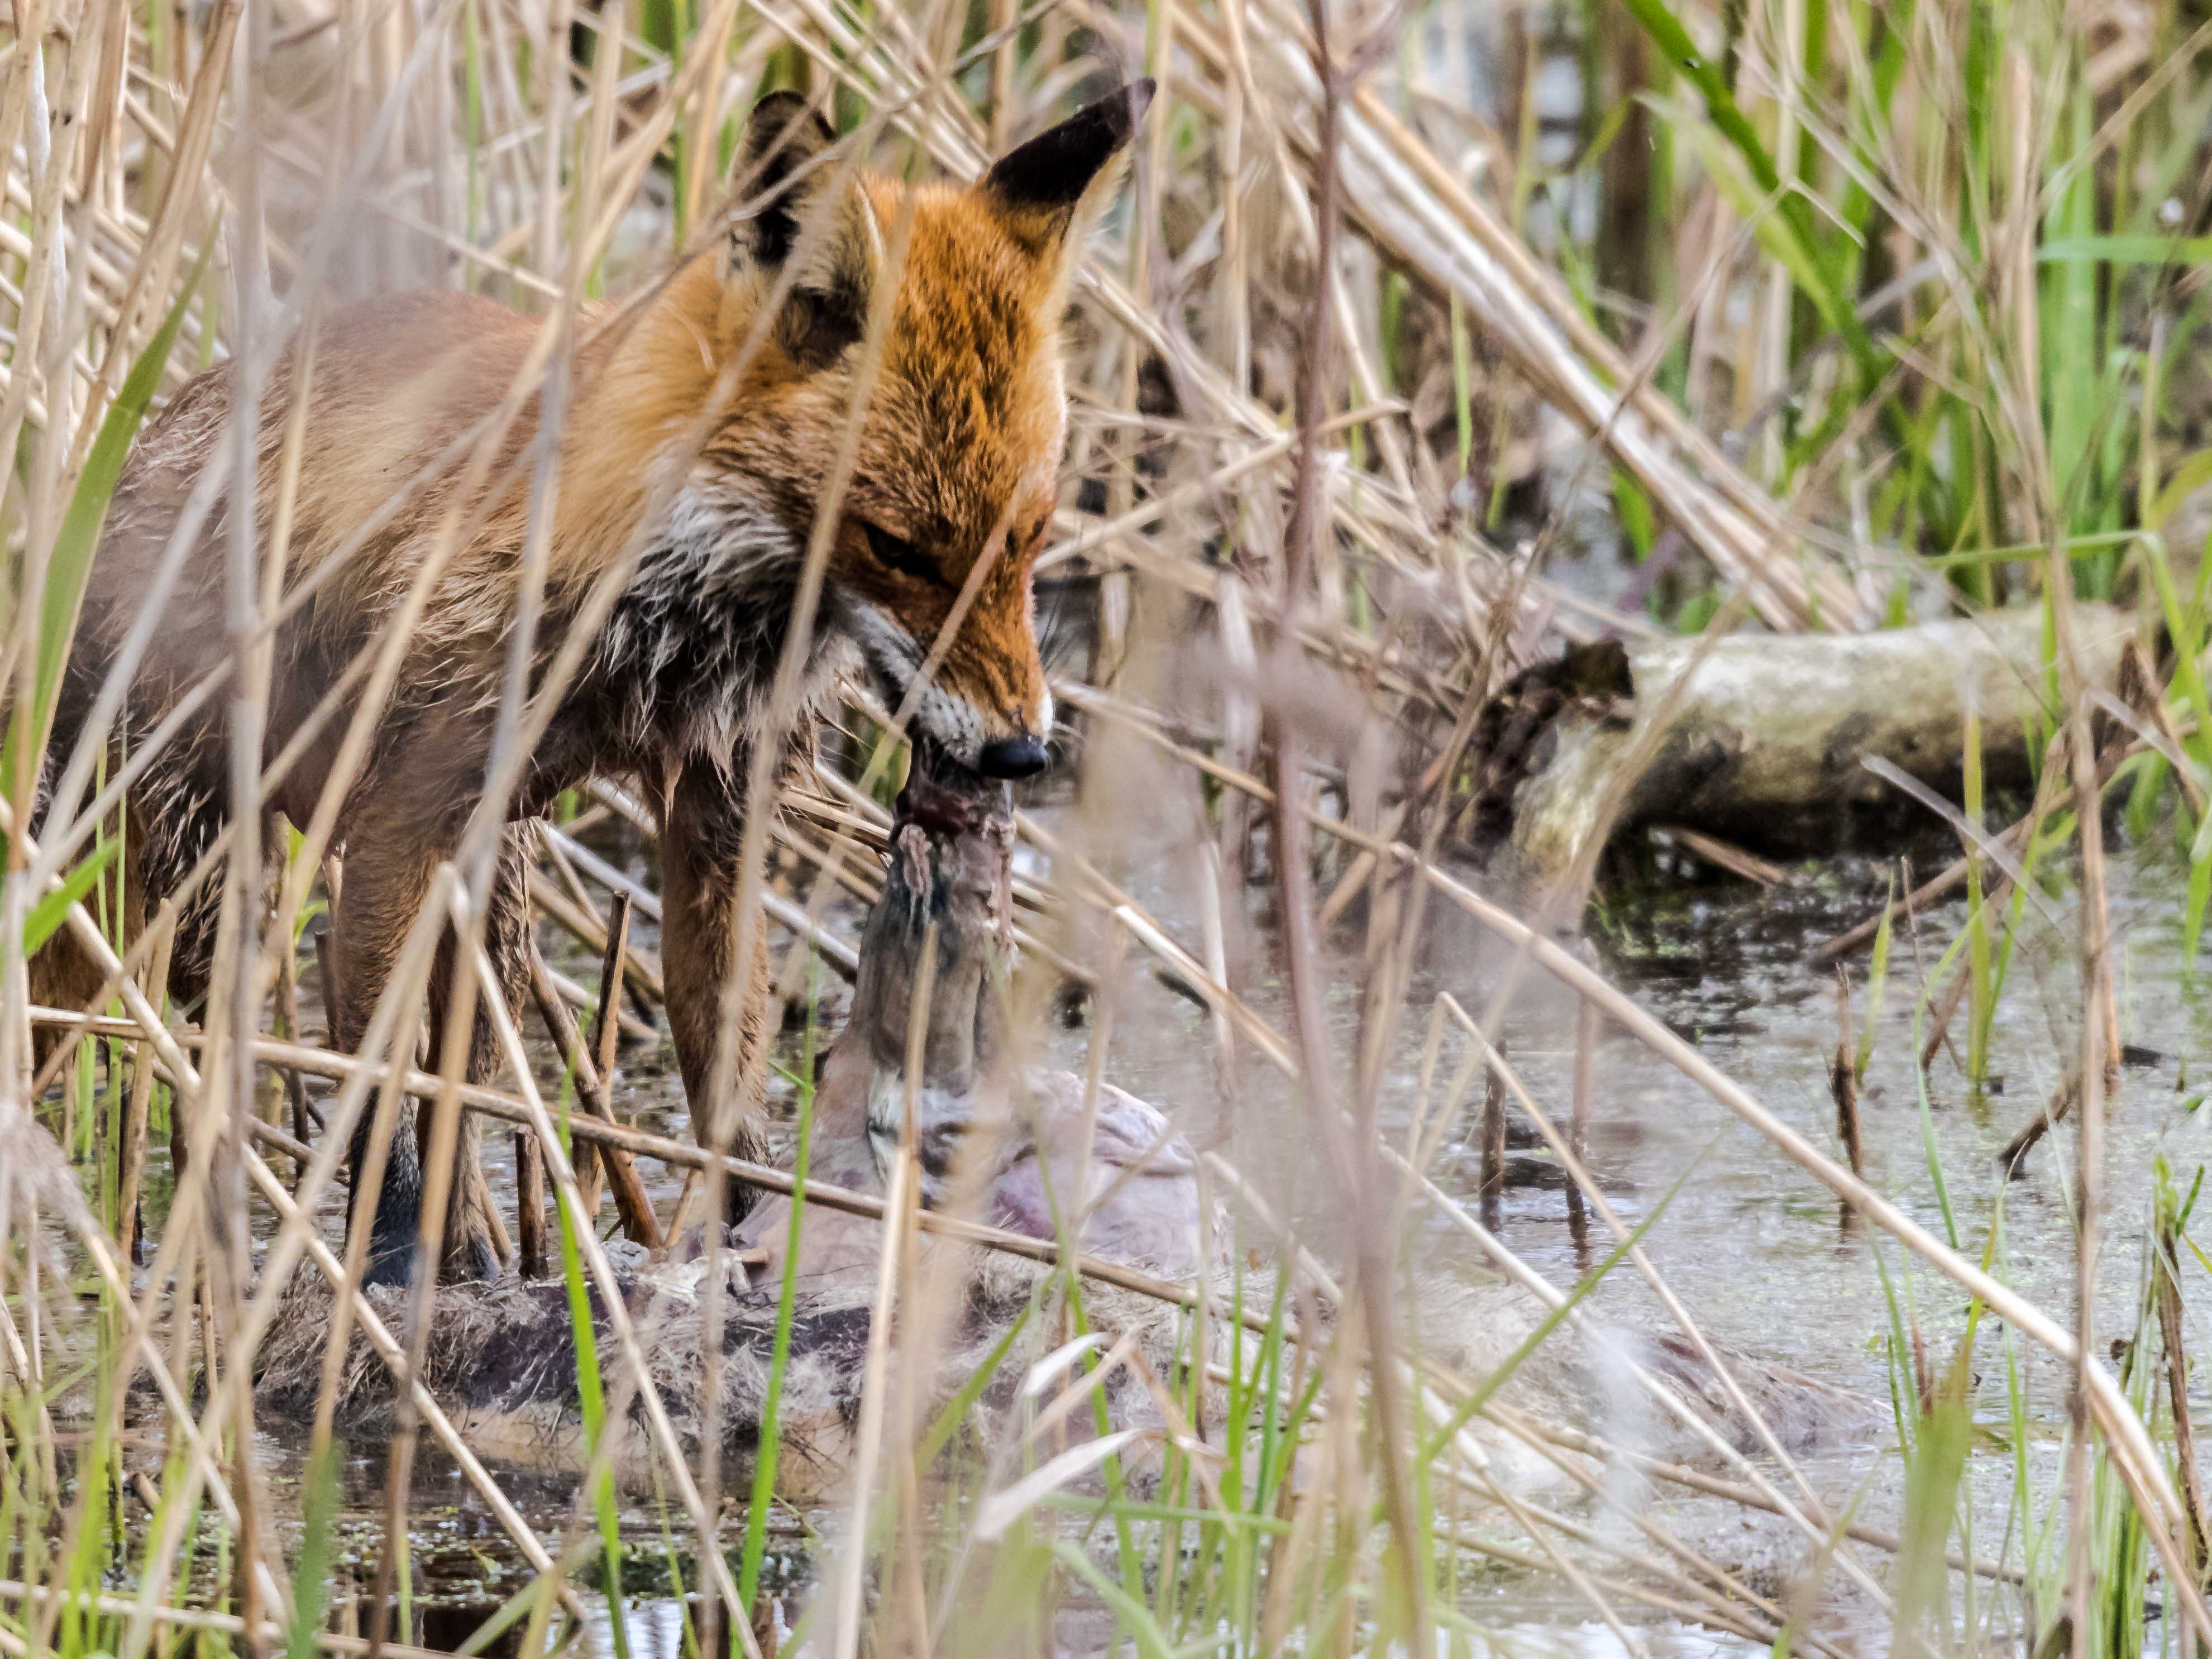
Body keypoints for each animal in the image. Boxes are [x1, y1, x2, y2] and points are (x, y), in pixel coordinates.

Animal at [34, 80, 1155, 1287]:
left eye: (1032, 537)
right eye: (898, 548)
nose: (1019, 752)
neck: (671, 620)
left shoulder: (721, 814)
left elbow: (726, 1080)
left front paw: (740, 1248)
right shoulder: (395, 817)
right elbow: (378, 1106)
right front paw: (390, 1279)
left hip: (495, 893)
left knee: (465, 1071)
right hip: (197, 883)